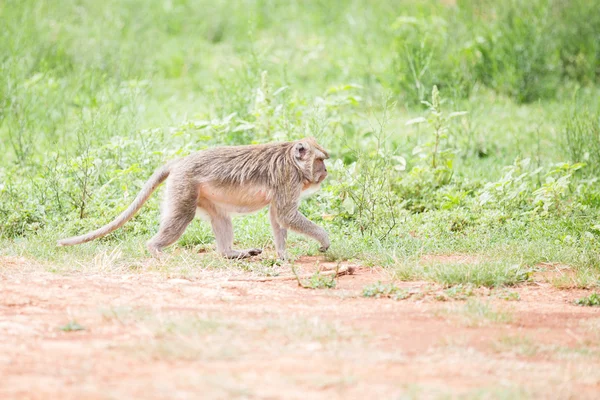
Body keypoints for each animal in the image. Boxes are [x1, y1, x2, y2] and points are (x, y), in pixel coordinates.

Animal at [55, 138, 330, 260]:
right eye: (320, 160)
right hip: (183, 186)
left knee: (221, 217)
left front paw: (282, 254)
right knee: (181, 217)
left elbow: (277, 217)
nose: (326, 171)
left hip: (200, 193)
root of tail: (179, 162)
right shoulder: (287, 179)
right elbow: (285, 215)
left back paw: (229, 253)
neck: (292, 161)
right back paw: (154, 248)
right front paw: (324, 239)